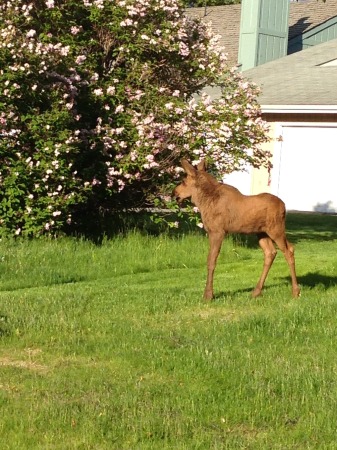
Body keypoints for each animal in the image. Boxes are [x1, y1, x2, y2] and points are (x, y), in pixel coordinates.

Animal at [173, 160, 300, 300]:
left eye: (184, 181)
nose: (174, 193)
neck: (203, 202)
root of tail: (284, 207)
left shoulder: (217, 231)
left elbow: (211, 260)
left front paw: (208, 295)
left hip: (276, 229)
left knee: (289, 250)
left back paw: (295, 291)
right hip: (261, 233)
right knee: (270, 252)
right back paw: (256, 291)